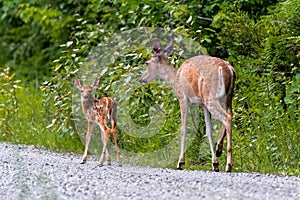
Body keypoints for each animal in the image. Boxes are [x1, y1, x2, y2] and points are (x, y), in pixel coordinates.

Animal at [139, 40, 236, 172]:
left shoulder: (183, 98)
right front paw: (214, 163)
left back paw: (228, 164)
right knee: (230, 115)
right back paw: (219, 149)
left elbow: (183, 129)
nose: (141, 79)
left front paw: (180, 162)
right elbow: (208, 130)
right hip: (227, 97)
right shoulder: (202, 104)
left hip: (210, 97)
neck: (174, 79)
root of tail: (228, 68)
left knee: (226, 118)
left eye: (147, 63)